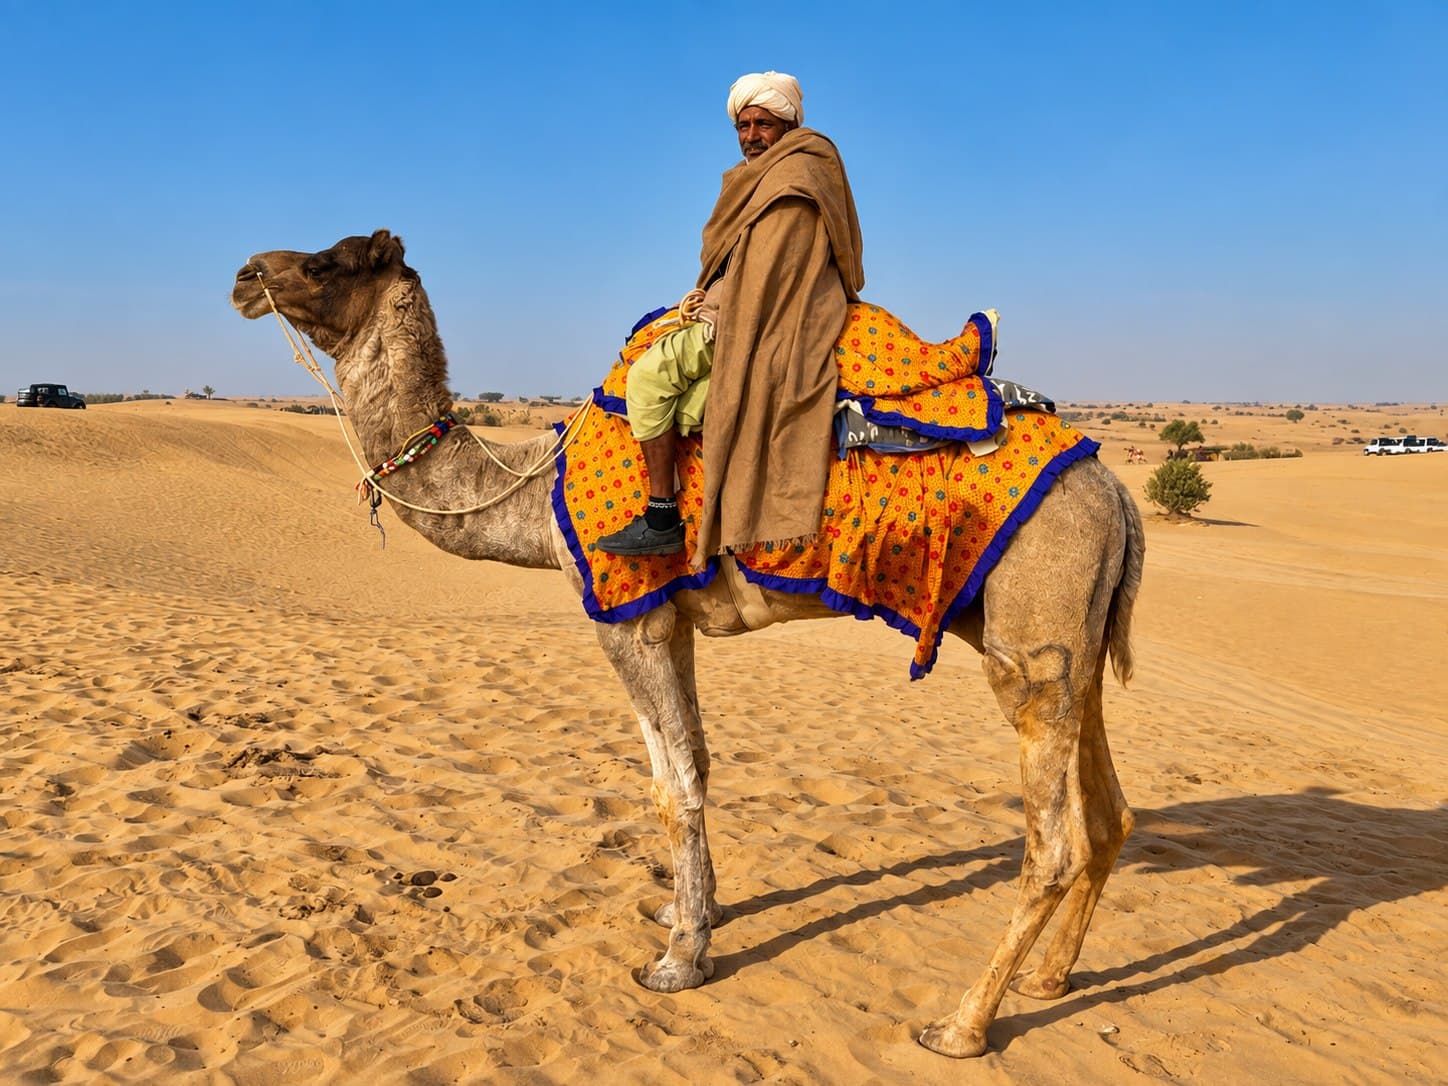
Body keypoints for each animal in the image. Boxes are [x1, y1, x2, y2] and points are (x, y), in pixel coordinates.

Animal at [231, 230, 1145, 1059]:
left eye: (328, 263)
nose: (246, 274)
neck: (531, 490)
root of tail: (1117, 493)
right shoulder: (671, 620)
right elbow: (696, 760)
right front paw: (691, 910)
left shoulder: (626, 617)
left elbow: (672, 787)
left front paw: (677, 961)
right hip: (1073, 643)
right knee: (1110, 810)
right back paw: (1049, 979)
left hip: (1032, 632)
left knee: (1051, 843)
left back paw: (961, 1026)